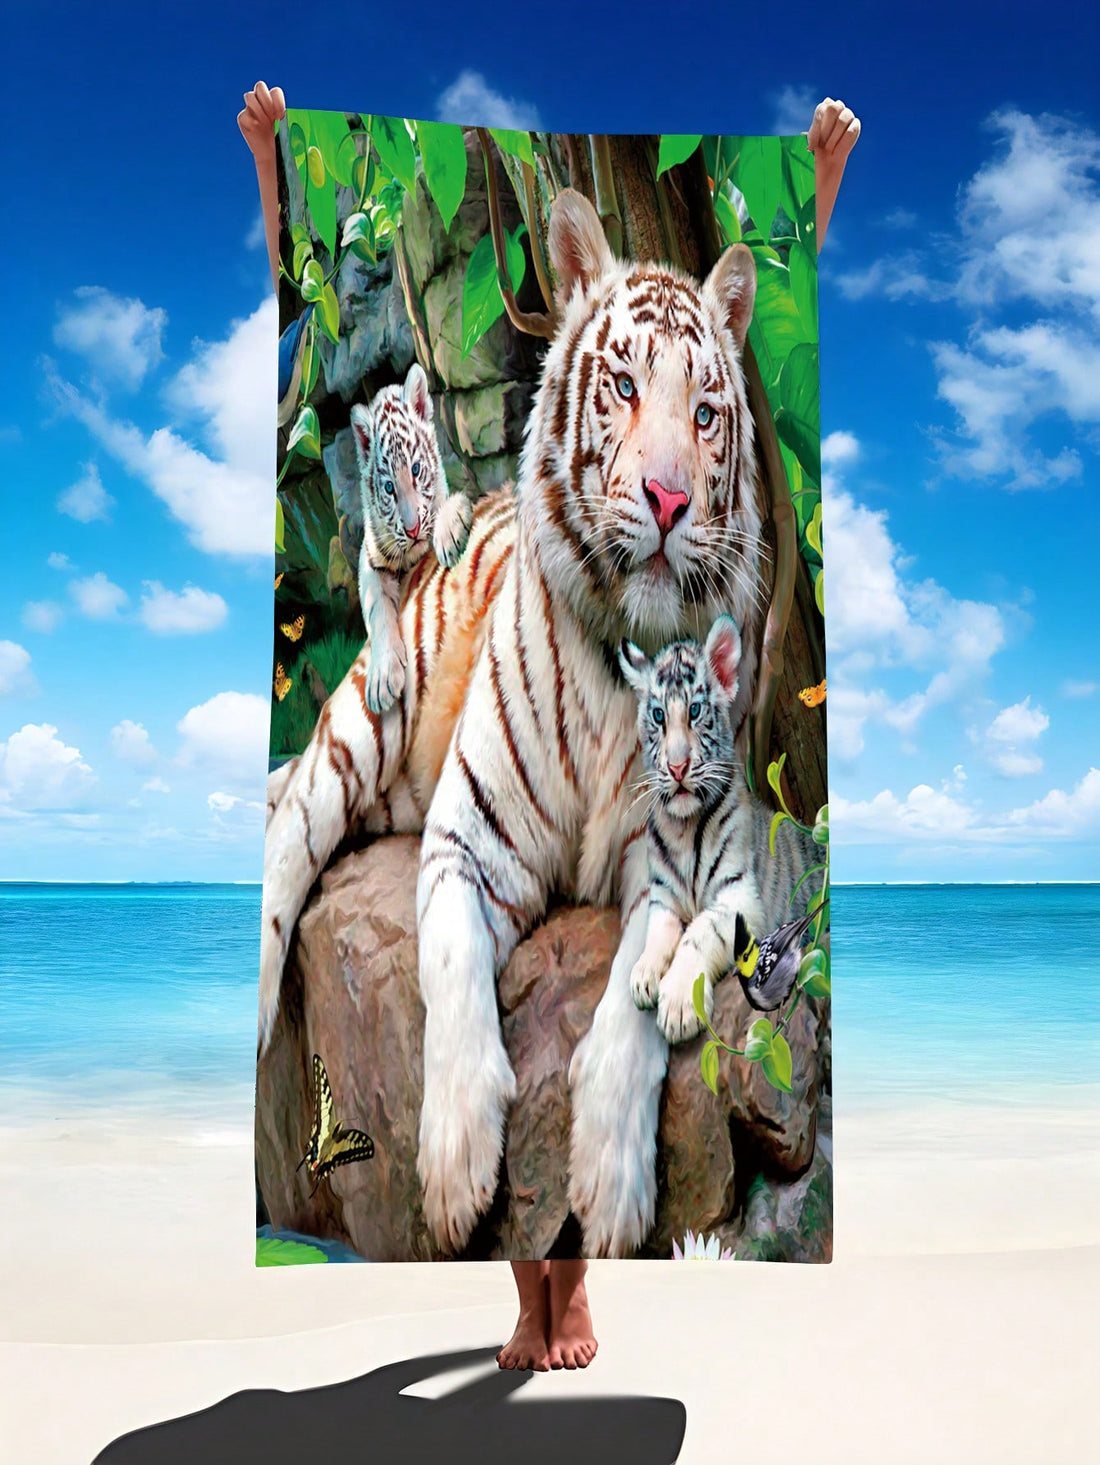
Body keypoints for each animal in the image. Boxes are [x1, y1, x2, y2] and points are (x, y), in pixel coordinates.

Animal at [351, 361, 473, 712]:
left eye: (416, 470)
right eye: (389, 487)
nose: (413, 529)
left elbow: (451, 503)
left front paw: (449, 534)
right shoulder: (370, 560)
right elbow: (377, 608)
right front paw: (382, 680)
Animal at [618, 614, 814, 1047]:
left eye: (694, 711)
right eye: (658, 716)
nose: (676, 768)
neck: (683, 825)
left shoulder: (741, 899)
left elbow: (700, 932)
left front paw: (677, 1005)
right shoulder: (663, 896)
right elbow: (658, 931)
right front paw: (643, 973)